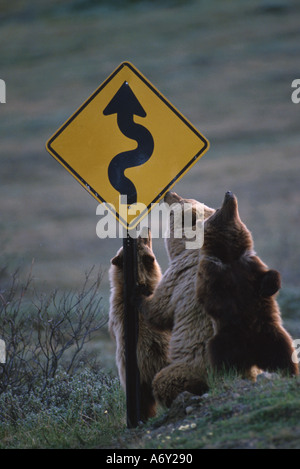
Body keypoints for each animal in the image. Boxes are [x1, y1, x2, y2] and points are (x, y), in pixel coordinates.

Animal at [140, 191, 216, 406]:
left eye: (180, 203)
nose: (169, 193)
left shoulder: (181, 277)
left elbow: (159, 310)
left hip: (192, 364)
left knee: (165, 379)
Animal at [197, 190, 298, 376]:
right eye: (217, 209)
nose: (228, 192)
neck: (228, 256)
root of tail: (252, 357)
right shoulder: (211, 271)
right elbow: (209, 297)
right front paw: (228, 307)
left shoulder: (249, 264)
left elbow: (269, 274)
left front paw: (267, 287)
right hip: (226, 339)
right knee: (221, 356)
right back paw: (226, 374)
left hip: (271, 334)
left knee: (283, 353)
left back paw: (289, 371)